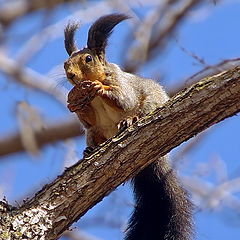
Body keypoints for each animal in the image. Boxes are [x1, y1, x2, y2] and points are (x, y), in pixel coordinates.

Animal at [63, 13, 193, 240]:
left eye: (88, 59)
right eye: (64, 63)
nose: (70, 75)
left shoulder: (122, 84)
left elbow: (124, 100)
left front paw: (100, 88)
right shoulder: (91, 120)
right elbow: (88, 120)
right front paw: (76, 104)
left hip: (150, 103)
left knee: (139, 110)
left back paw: (129, 121)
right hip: (95, 133)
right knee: (93, 134)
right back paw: (90, 149)